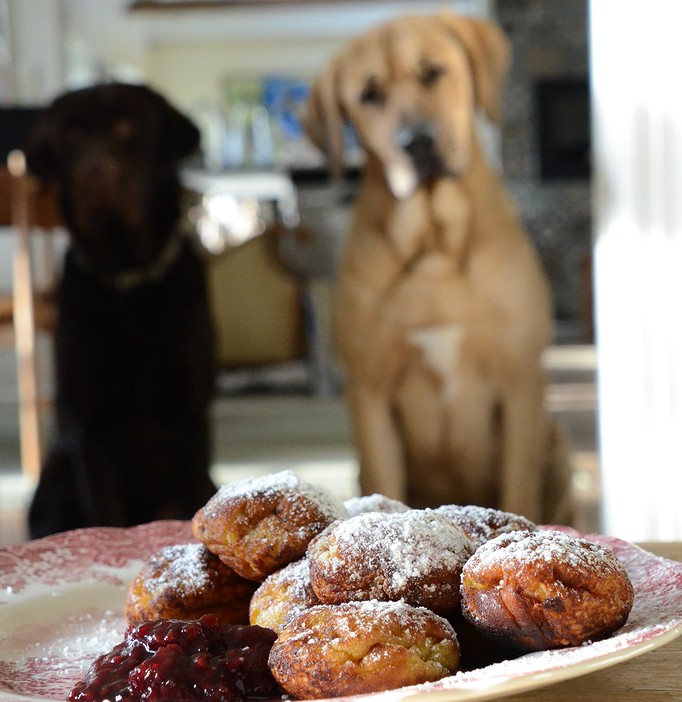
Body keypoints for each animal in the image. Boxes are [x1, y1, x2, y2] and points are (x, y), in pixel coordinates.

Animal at [306, 9, 572, 524]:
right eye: (369, 95)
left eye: (433, 72)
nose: (418, 143)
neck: (433, 246)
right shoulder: (370, 393)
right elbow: (384, 480)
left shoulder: (519, 382)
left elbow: (518, 490)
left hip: (554, 443)